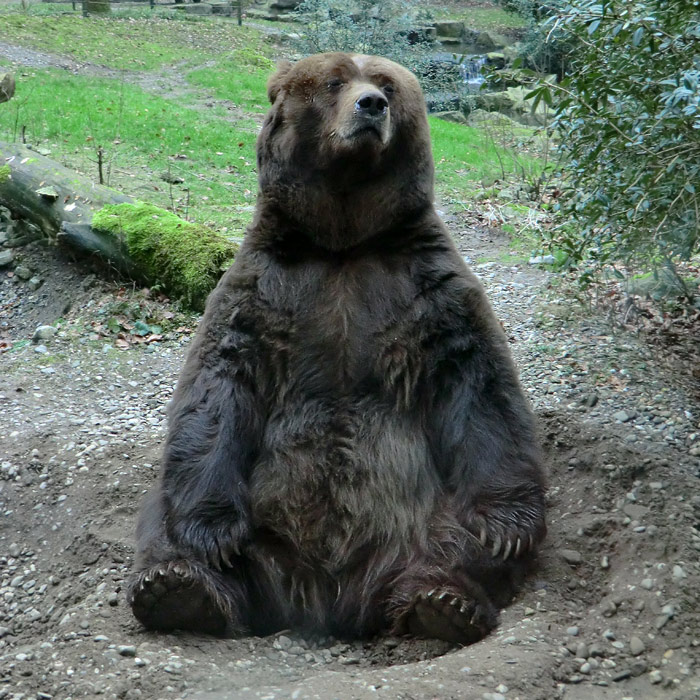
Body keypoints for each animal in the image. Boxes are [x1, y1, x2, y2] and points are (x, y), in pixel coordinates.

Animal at [127, 53, 548, 644]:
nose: (371, 105)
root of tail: (325, 595)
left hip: (420, 515)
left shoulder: (422, 280)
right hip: (257, 522)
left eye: (389, 85)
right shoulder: (267, 286)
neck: (343, 242)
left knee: (454, 542)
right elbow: (219, 384)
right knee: (162, 516)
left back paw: (442, 601)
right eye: (333, 82)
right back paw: (180, 590)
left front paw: (507, 525)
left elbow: (475, 377)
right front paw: (210, 533)